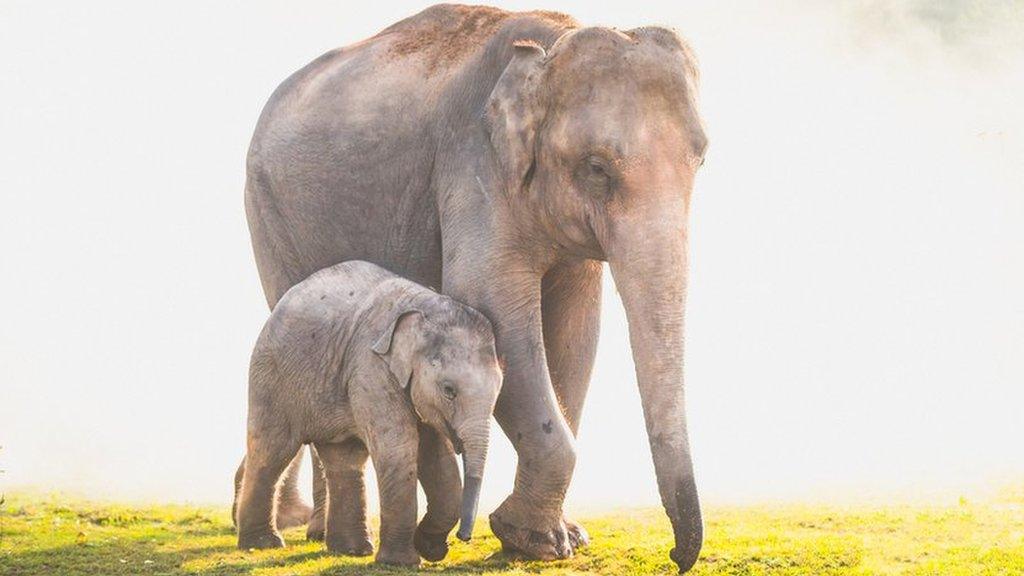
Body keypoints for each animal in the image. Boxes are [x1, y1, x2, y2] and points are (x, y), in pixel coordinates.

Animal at [233, 260, 503, 565]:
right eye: (449, 390)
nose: (464, 537)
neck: (425, 307)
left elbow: (435, 453)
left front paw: (429, 548)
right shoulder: (370, 367)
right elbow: (400, 446)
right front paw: (401, 562)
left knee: (345, 458)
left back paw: (351, 550)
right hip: (272, 377)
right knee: (272, 450)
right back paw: (262, 545)